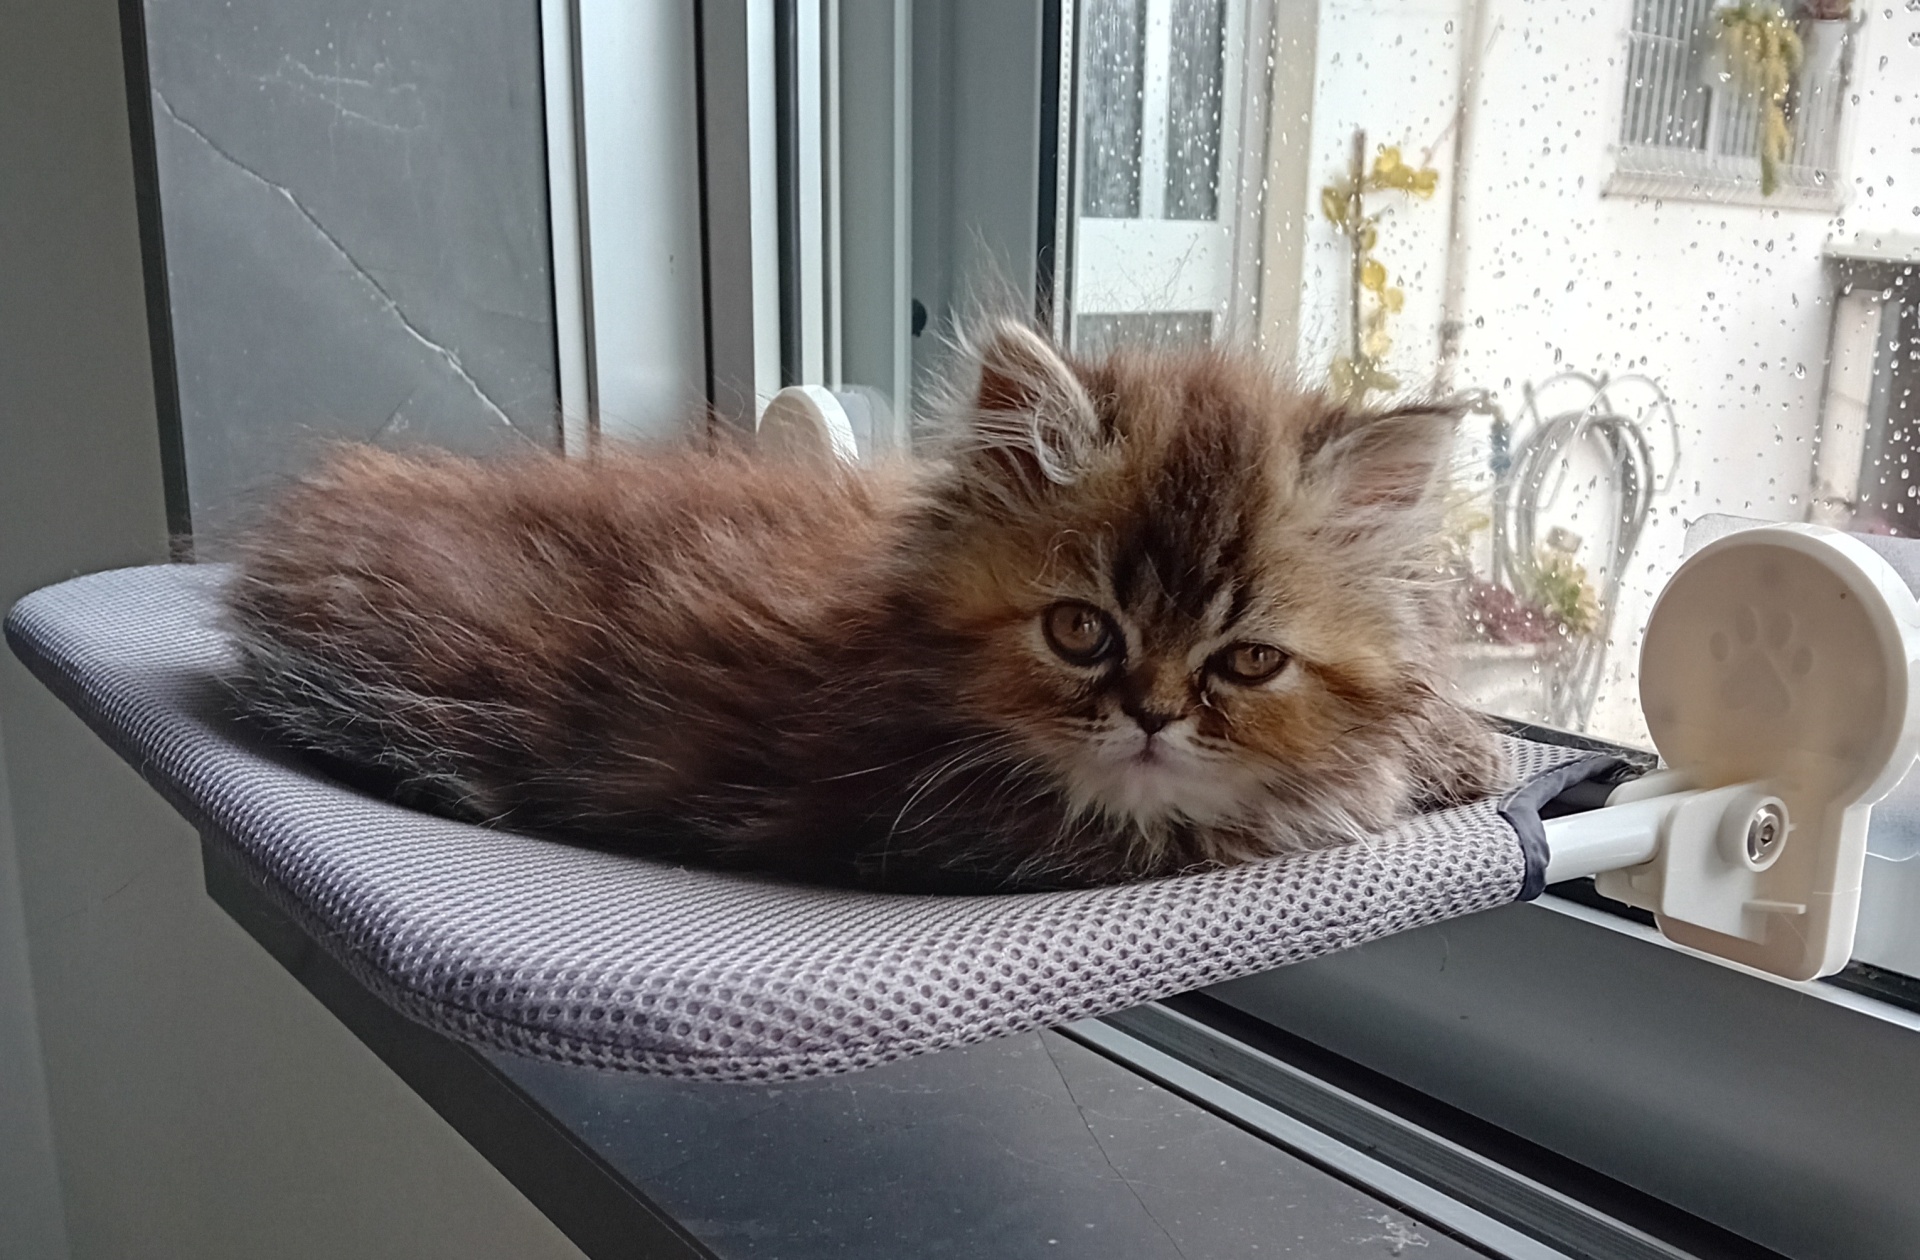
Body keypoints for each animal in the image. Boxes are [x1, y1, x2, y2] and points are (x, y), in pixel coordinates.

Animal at [223, 319, 1508, 892]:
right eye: (1080, 629)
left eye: (1245, 662)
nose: (1150, 718)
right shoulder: (983, 827)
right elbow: (1289, 811)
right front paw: (1397, 772)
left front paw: (1461, 748)